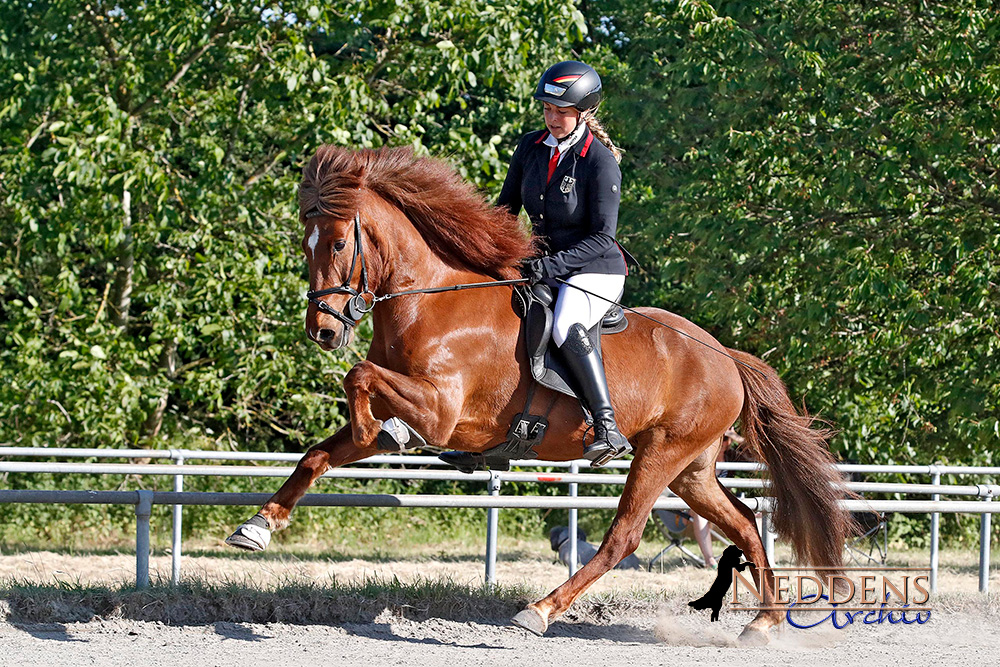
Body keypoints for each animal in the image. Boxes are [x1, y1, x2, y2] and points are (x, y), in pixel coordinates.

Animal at [229, 145, 852, 640]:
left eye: (338, 243)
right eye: (305, 244)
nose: (323, 331)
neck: (428, 303)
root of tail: (726, 356)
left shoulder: (440, 410)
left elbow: (358, 378)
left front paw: (375, 431)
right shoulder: (404, 400)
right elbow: (318, 454)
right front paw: (258, 525)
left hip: (661, 453)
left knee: (623, 537)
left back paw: (542, 610)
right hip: (691, 468)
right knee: (743, 522)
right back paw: (764, 622)